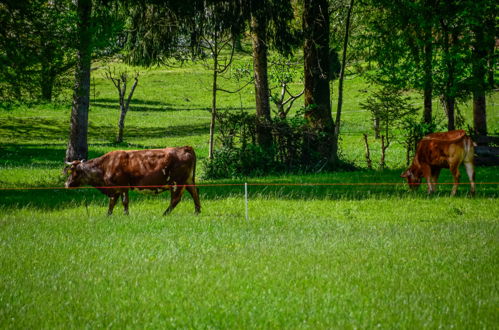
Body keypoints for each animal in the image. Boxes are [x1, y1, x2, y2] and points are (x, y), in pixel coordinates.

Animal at [64, 146, 201, 214]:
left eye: (72, 170)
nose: (66, 183)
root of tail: (184, 147)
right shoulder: (116, 189)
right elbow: (112, 203)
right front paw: (108, 215)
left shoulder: (122, 186)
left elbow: (124, 202)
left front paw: (125, 214)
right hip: (188, 180)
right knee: (195, 193)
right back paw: (197, 212)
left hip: (177, 182)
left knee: (175, 199)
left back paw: (165, 214)